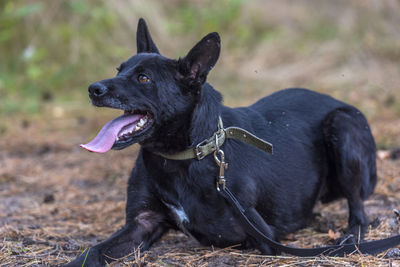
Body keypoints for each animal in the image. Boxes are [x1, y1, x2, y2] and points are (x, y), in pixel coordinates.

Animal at [66, 18, 378, 266]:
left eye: (143, 78)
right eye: (118, 70)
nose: (93, 89)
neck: (181, 158)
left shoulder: (261, 236)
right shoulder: (140, 225)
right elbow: (92, 252)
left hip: (342, 125)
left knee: (359, 210)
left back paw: (350, 237)